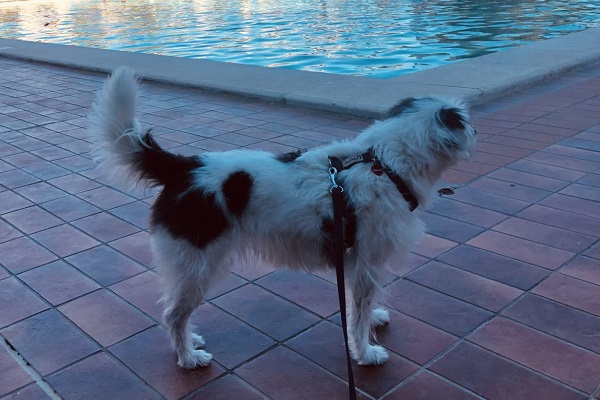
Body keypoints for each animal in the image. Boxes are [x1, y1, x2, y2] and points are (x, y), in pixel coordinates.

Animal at [89, 65, 476, 368]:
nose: (476, 132)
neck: (385, 164)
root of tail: (184, 168)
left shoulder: (359, 261)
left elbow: (363, 305)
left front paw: (374, 319)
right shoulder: (368, 259)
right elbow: (360, 310)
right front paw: (365, 352)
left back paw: (190, 341)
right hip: (196, 266)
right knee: (173, 314)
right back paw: (187, 358)